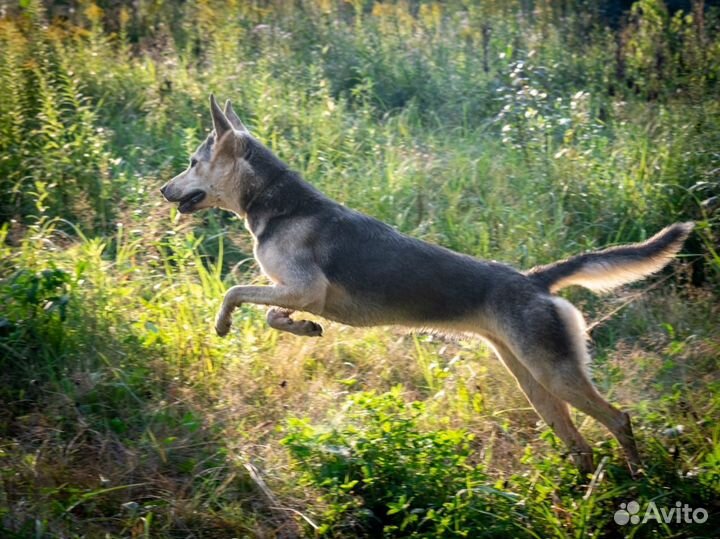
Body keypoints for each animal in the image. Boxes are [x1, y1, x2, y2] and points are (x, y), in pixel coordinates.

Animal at [162, 97, 692, 476]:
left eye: (191, 161)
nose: (163, 190)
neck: (277, 203)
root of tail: (536, 280)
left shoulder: (305, 288)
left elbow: (235, 293)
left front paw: (225, 324)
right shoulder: (294, 292)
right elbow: (271, 312)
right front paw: (303, 329)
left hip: (556, 374)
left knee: (619, 419)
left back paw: (639, 479)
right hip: (534, 383)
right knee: (580, 445)